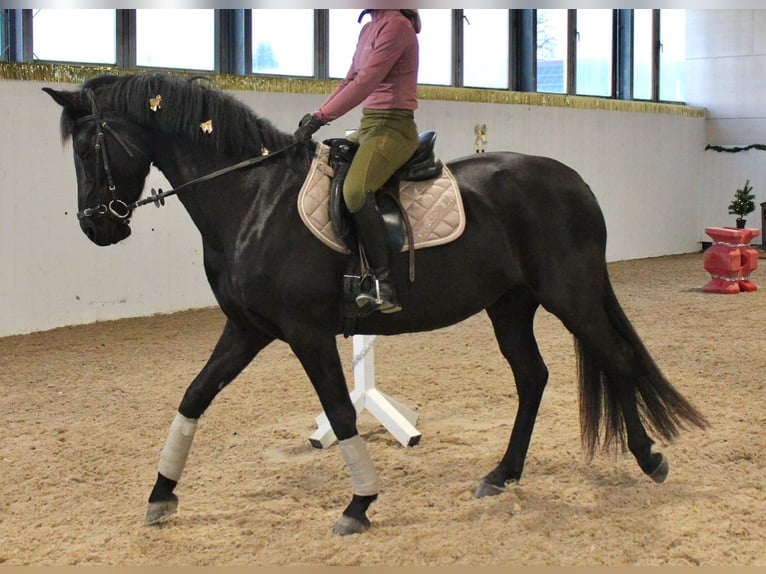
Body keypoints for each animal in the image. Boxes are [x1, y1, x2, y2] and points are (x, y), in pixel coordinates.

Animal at [43, 74, 708, 536]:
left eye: (88, 146)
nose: (96, 227)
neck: (254, 198)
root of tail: (575, 182)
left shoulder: (306, 333)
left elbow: (341, 412)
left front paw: (359, 504)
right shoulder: (247, 329)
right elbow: (194, 397)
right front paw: (161, 495)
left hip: (570, 296)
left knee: (615, 360)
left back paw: (650, 459)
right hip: (510, 307)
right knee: (533, 377)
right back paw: (503, 474)